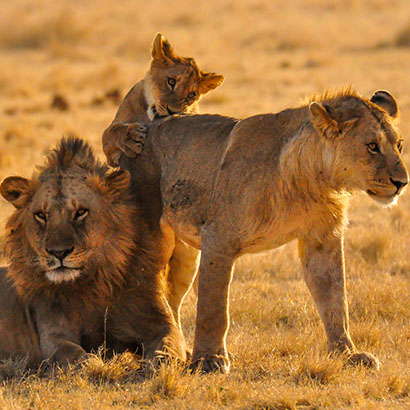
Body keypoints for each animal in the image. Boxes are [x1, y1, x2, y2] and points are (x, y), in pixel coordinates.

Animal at [0, 137, 185, 366]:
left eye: (81, 212)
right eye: (41, 215)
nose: (58, 252)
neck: (95, 283)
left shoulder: (159, 321)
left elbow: (169, 343)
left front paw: (162, 361)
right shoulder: (53, 338)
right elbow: (75, 355)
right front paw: (96, 364)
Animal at [102, 32, 224, 167]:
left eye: (191, 95)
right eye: (171, 81)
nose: (172, 112)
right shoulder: (111, 154)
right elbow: (110, 132)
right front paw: (131, 139)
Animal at [117, 88, 406, 374]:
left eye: (399, 145)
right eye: (372, 146)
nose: (402, 182)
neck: (314, 181)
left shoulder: (322, 239)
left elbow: (335, 300)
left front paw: (347, 353)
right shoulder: (218, 238)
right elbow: (214, 308)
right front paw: (209, 360)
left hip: (186, 253)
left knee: (172, 297)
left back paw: (180, 351)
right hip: (151, 236)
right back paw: (162, 354)